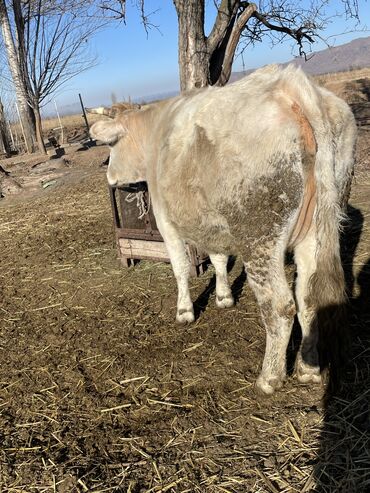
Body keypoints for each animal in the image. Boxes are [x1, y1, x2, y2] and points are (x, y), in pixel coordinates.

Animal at [89, 66, 356, 396]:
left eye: (112, 145)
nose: (110, 177)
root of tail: (293, 86)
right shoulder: (212, 223)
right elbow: (217, 258)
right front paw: (224, 297)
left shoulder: (166, 222)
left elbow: (180, 268)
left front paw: (185, 311)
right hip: (317, 231)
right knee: (309, 299)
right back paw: (308, 369)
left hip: (260, 238)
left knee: (280, 307)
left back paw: (269, 378)